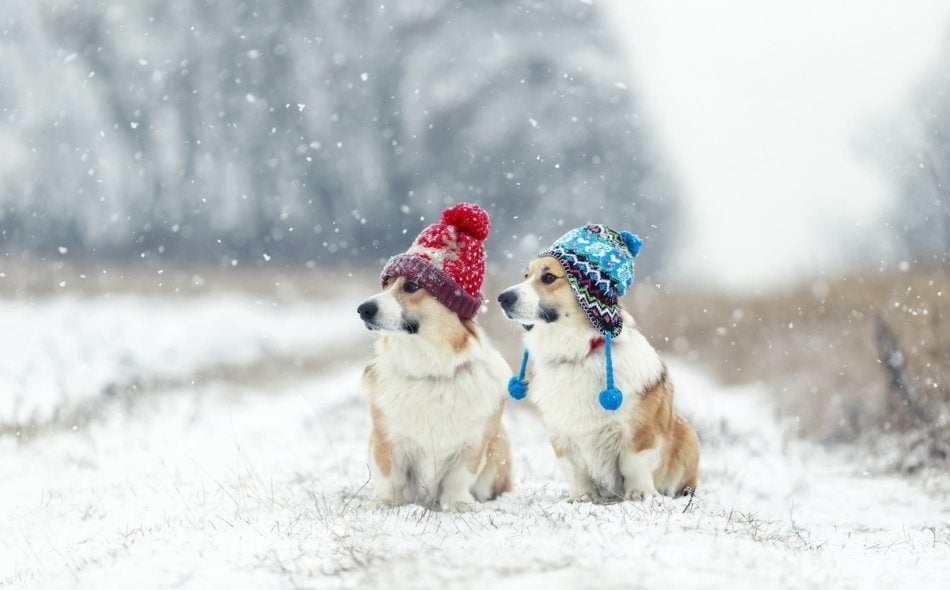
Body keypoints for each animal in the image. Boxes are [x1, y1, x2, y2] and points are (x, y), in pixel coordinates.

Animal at [356, 205, 512, 512]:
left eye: (412, 286)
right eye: (388, 283)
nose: (363, 309)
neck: (430, 368)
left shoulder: (473, 443)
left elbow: (458, 478)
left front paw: (458, 505)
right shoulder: (386, 439)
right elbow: (389, 477)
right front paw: (382, 503)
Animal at [498, 227, 700, 504]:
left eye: (549, 277)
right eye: (526, 276)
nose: (502, 298)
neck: (579, 352)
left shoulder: (638, 432)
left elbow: (635, 464)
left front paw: (640, 494)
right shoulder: (562, 435)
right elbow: (576, 469)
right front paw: (581, 497)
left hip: (687, 434)